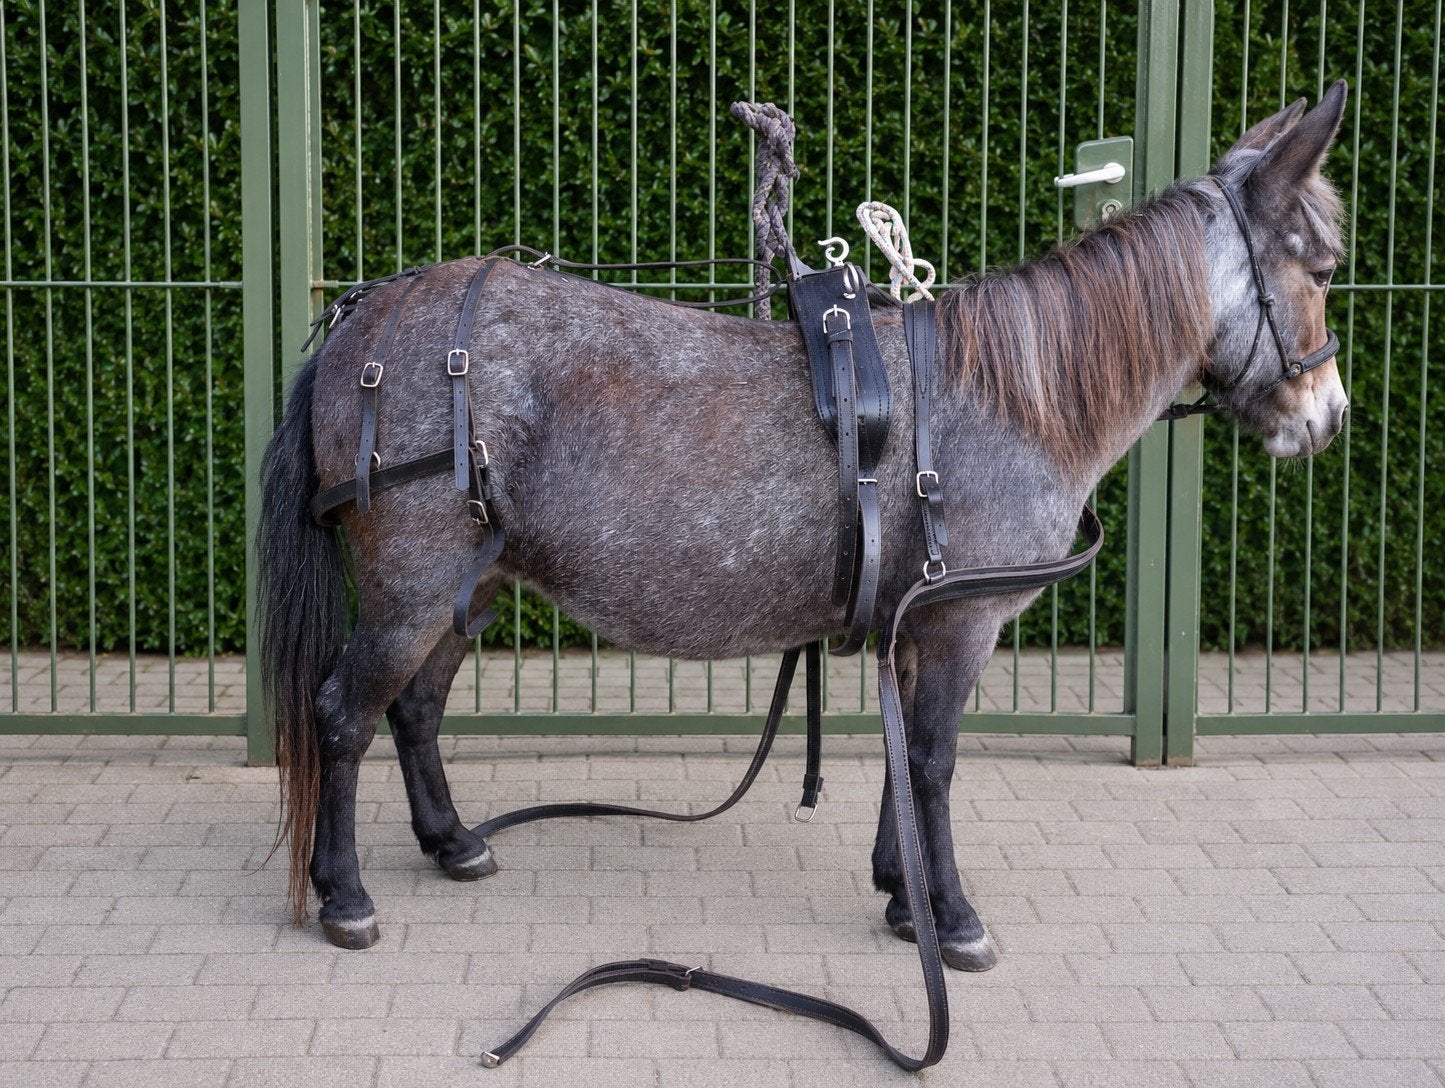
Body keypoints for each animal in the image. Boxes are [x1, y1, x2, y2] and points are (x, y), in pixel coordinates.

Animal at [258, 83, 1350, 971]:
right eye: (1320, 266)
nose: (1328, 416)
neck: (1011, 399)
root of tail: (366, 318)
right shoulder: (961, 624)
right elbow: (932, 761)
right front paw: (952, 920)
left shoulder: (916, 621)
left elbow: (904, 758)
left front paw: (903, 897)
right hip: (408, 590)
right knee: (342, 714)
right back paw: (345, 896)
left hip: (468, 585)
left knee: (415, 708)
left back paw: (453, 841)